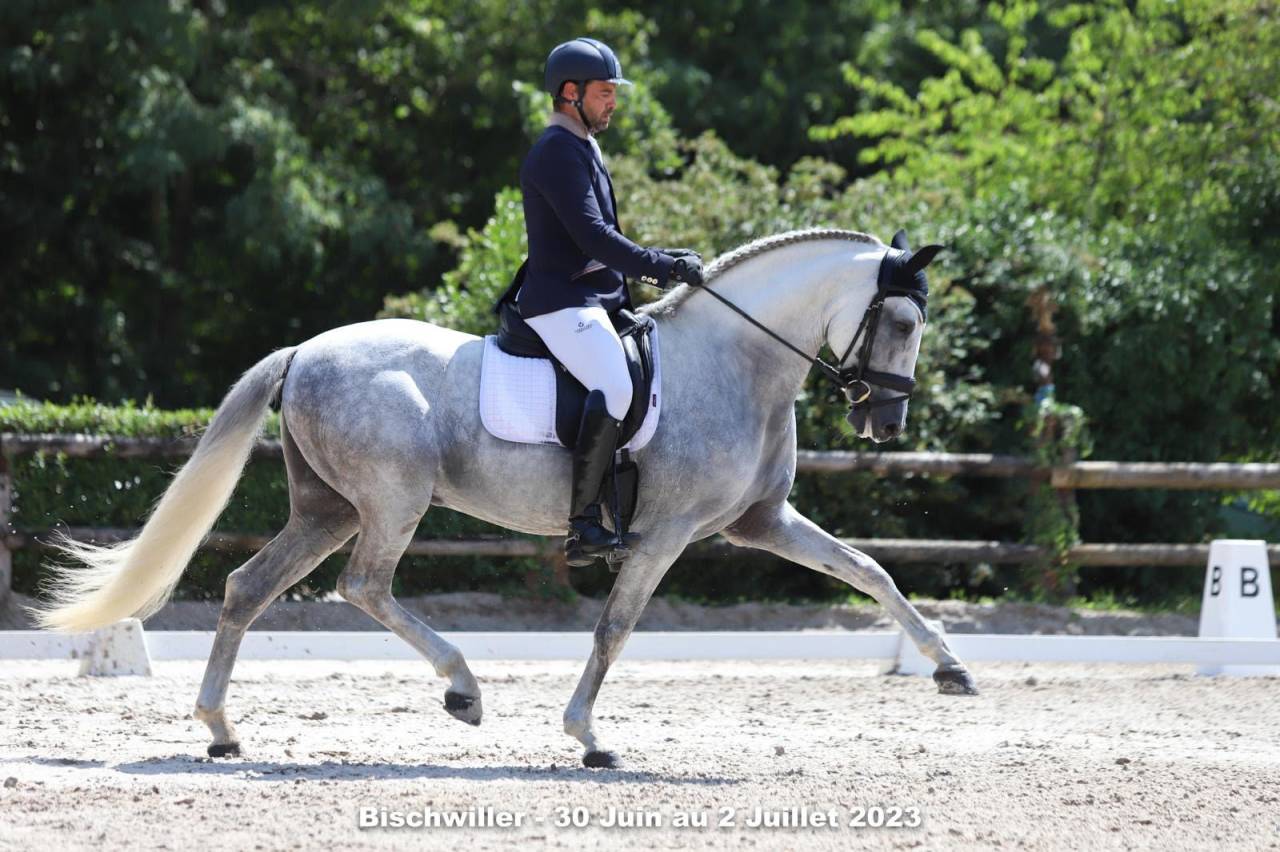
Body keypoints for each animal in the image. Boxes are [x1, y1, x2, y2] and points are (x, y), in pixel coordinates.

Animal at [36, 227, 978, 769]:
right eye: (902, 323)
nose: (885, 420)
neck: (737, 361)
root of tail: (304, 351)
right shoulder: (665, 535)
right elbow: (615, 628)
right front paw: (588, 737)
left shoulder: (762, 522)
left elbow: (870, 573)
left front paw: (950, 669)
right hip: (391, 501)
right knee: (363, 586)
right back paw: (463, 690)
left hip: (326, 509)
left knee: (247, 588)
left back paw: (222, 731)